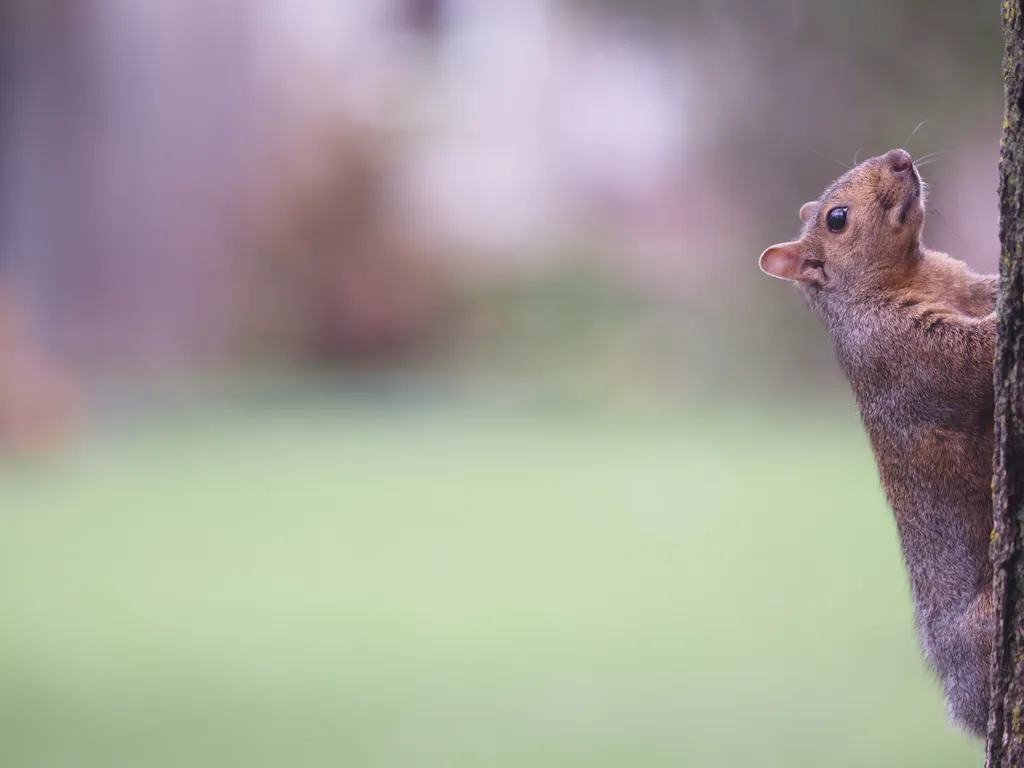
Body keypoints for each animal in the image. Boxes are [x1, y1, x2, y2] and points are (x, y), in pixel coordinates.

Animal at [761, 147, 999, 737]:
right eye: (836, 219)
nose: (899, 156)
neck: (910, 271)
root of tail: (961, 699)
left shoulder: (962, 278)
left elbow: (988, 290)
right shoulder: (900, 350)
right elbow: (967, 360)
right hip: (985, 628)